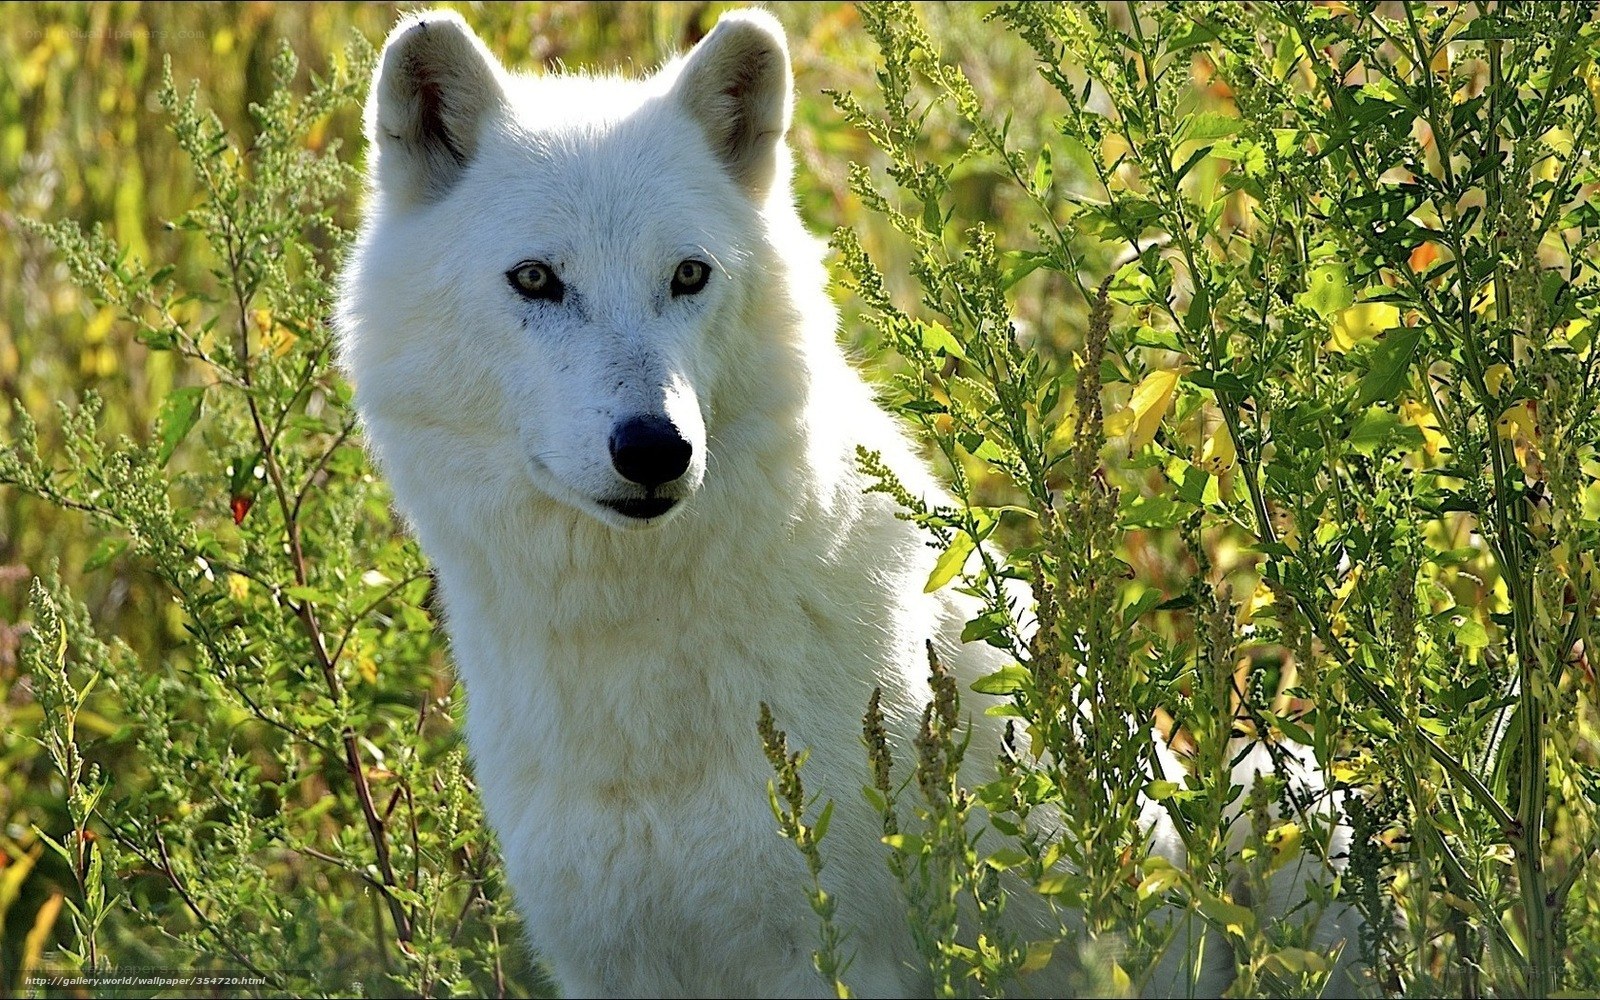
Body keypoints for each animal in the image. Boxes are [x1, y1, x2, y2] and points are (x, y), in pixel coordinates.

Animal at [337, 8, 1359, 998]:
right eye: (537, 279)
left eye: (689, 275)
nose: (657, 448)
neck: (632, 674)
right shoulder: (605, 965)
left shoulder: (832, 951)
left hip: (1297, 800)